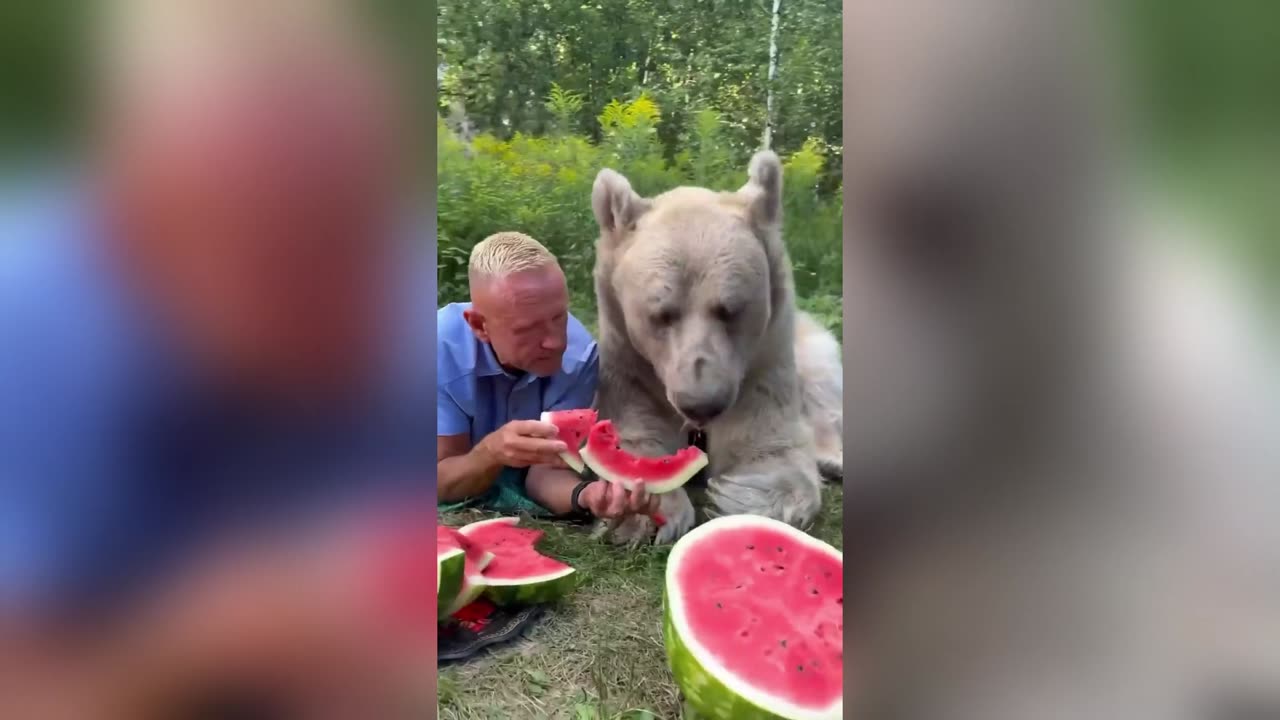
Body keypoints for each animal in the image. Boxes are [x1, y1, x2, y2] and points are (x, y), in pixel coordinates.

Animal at [586, 151, 844, 543]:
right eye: (661, 314)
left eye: (730, 310)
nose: (702, 403)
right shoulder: (629, 362)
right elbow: (634, 429)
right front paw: (640, 514)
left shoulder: (762, 361)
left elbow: (768, 442)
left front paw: (741, 493)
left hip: (812, 346)